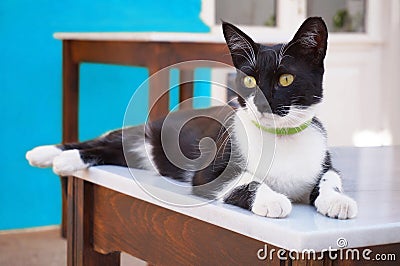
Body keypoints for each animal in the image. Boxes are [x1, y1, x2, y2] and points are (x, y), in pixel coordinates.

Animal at [27, 17, 360, 219]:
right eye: (249, 80)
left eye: (286, 79)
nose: (261, 104)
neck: (278, 138)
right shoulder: (210, 171)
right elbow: (243, 180)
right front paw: (271, 199)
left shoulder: (322, 159)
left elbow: (331, 177)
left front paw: (338, 201)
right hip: (146, 138)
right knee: (102, 141)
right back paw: (48, 154)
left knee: (110, 150)